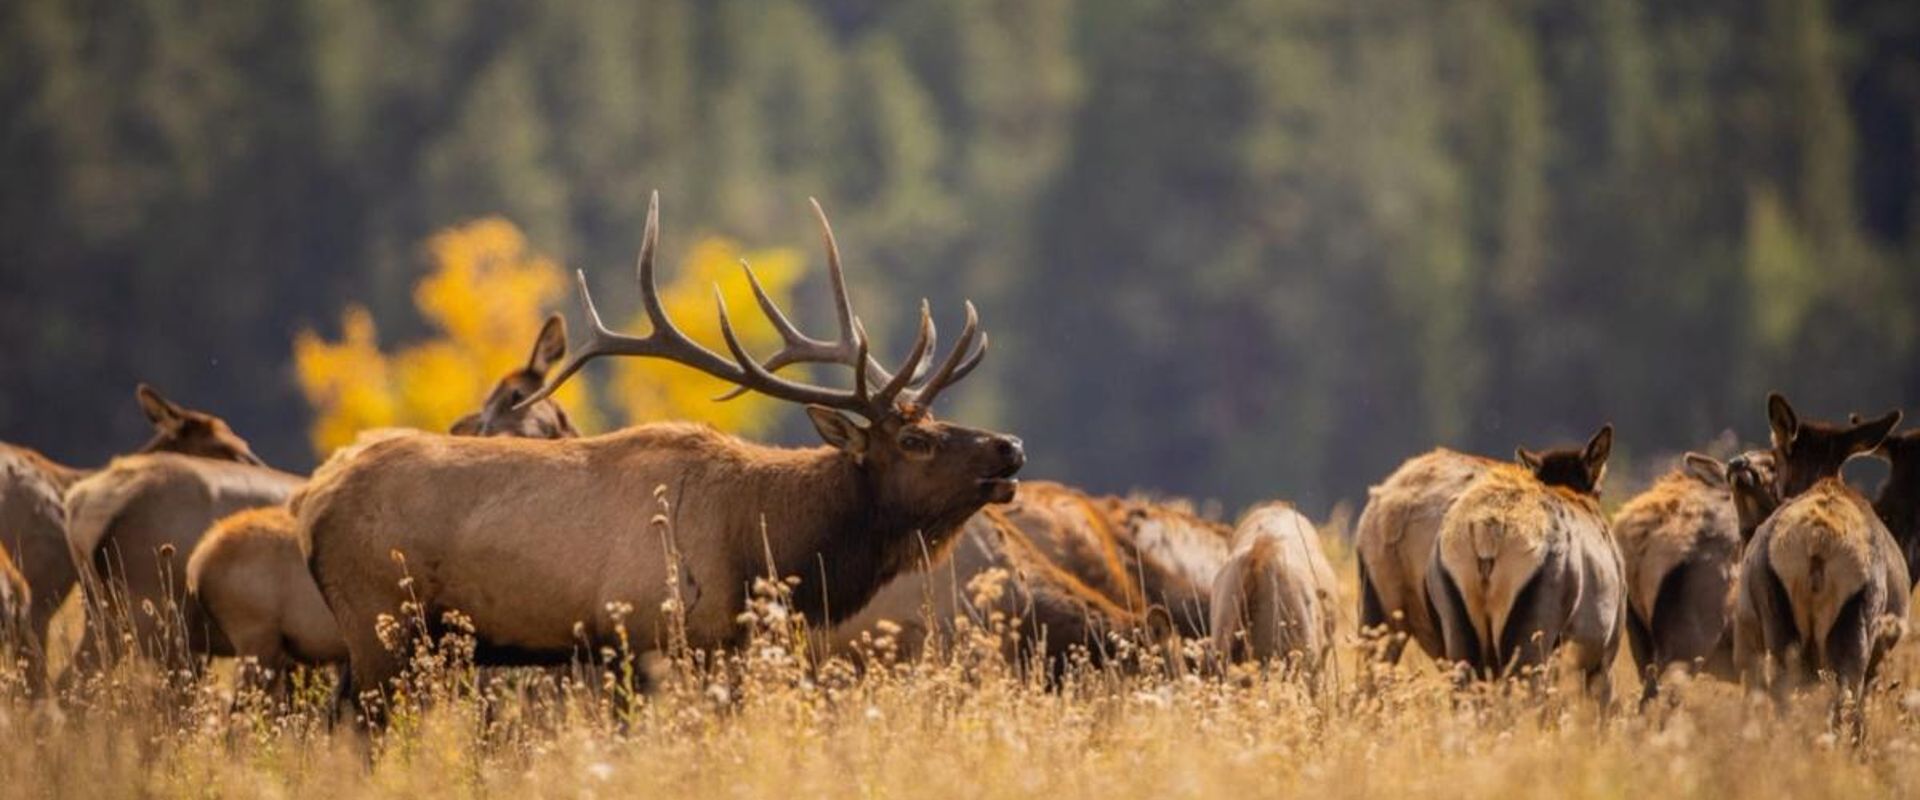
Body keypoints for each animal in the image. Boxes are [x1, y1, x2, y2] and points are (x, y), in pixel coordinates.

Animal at [294, 195, 1024, 726]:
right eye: (914, 441)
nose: (1010, 448)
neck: (761, 543)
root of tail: (310, 503)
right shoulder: (650, 633)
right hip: (381, 621)